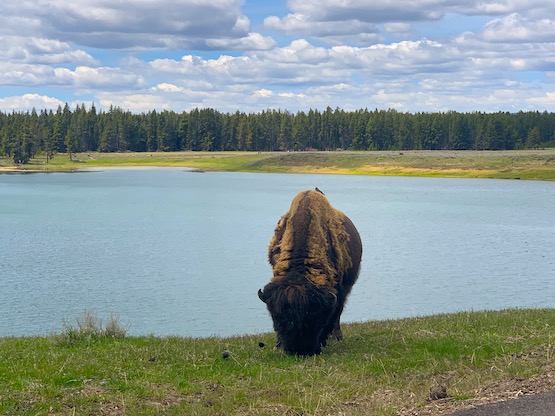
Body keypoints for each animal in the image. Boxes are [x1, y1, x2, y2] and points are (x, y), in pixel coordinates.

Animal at [258, 188, 362, 354]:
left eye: (315, 317)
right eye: (277, 317)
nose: (299, 351)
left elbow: (334, 314)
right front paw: (278, 344)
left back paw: (337, 337)